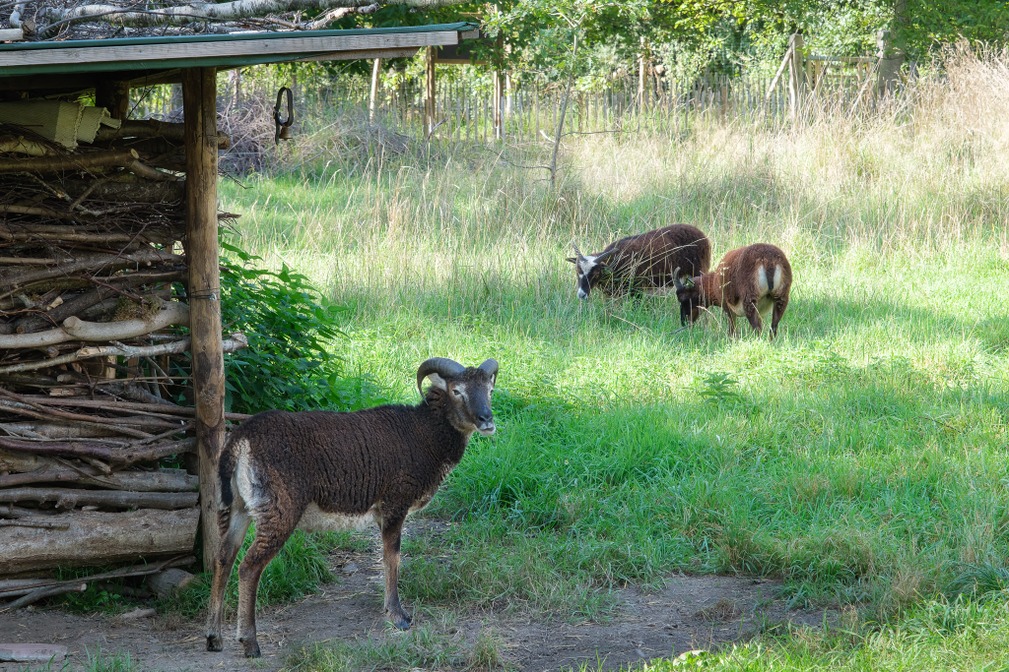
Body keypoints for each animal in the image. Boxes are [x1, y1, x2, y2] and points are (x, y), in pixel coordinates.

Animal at [205, 357, 499, 658]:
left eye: (490, 389)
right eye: (456, 391)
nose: (487, 420)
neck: (424, 434)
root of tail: (241, 441)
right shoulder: (395, 503)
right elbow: (392, 557)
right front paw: (398, 616)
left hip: (239, 507)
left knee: (223, 558)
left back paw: (214, 638)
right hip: (278, 509)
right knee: (249, 567)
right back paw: (249, 642)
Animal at [567, 224, 712, 324]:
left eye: (596, 273)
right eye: (577, 271)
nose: (581, 294)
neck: (615, 262)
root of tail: (701, 234)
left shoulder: (637, 289)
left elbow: (636, 308)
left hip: (699, 271)